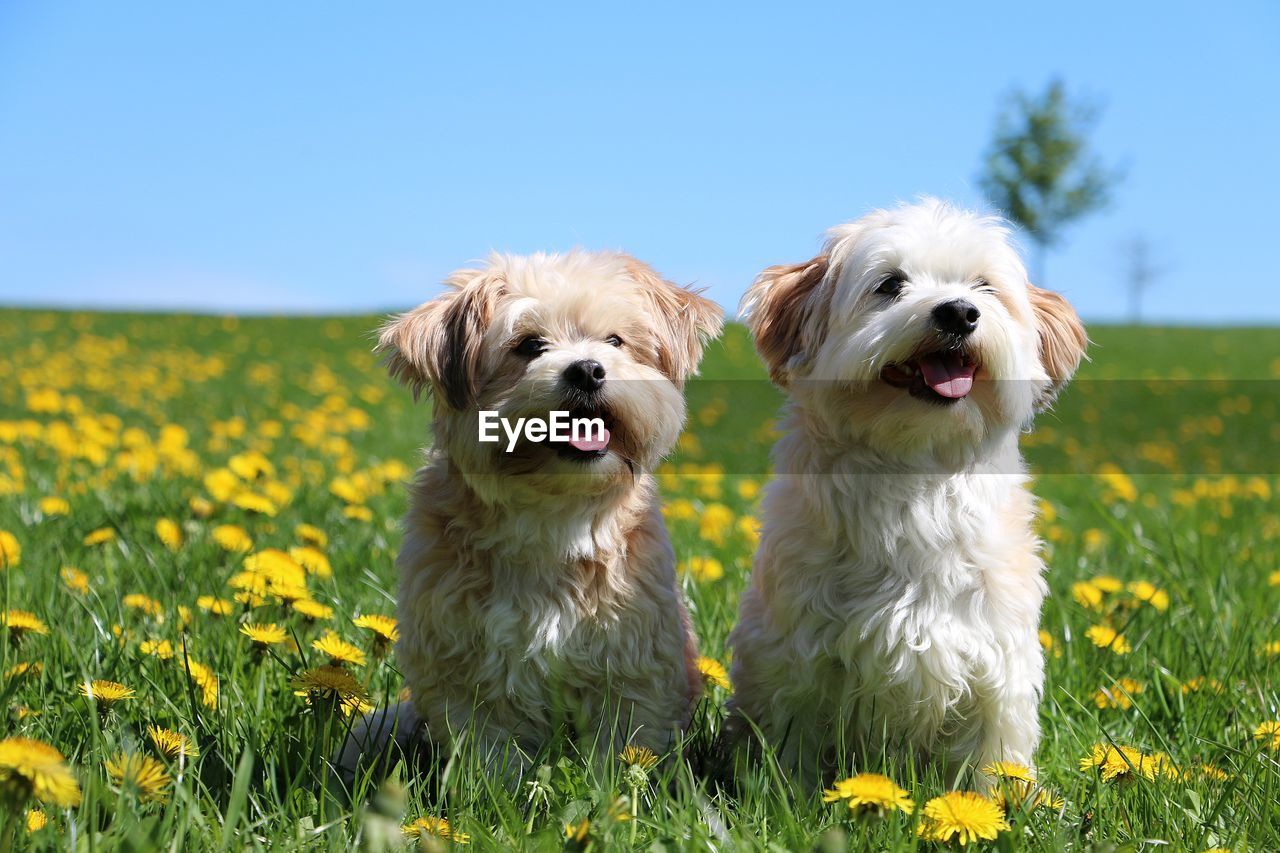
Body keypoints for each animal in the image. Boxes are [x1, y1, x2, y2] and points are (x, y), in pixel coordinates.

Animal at [340, 247, 721, 778]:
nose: (587, 370)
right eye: (529, 345)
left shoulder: (631, 664)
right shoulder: (468, 674)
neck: (551, 514)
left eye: (615, 340)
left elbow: (621, 749)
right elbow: (493, 762)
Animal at [727, 197, 1085, 778]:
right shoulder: (794, 656)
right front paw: (784, 790)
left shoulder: (998, 660)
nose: (958, 312)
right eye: (890, 284)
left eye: (984, 287)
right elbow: (794, 750)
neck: (915, 471)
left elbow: (989, 759)